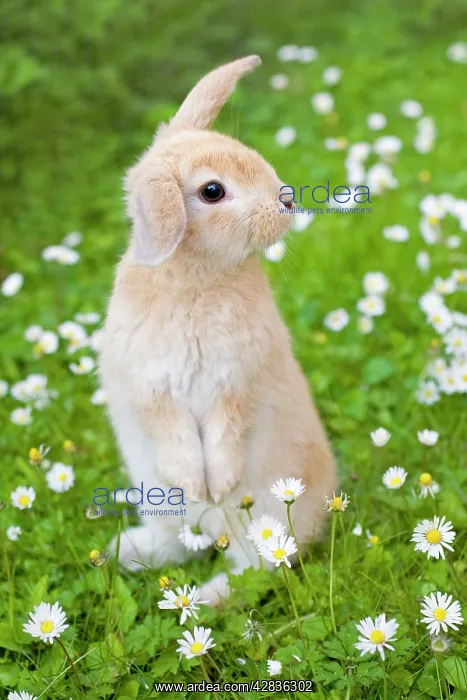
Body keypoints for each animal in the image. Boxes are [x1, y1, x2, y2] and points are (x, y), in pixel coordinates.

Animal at [99, 55, 337, 604]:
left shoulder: (237, 381)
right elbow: (175, 435)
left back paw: (205, 598)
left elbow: (227, 430)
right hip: (157, 498)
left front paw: (220, 484)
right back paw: (131, 552)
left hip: (269, 519)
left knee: (258, 570)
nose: (287, 201)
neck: (197, 278)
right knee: (183, 544)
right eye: (212, 191)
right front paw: (198, 483)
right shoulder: (151, 387)